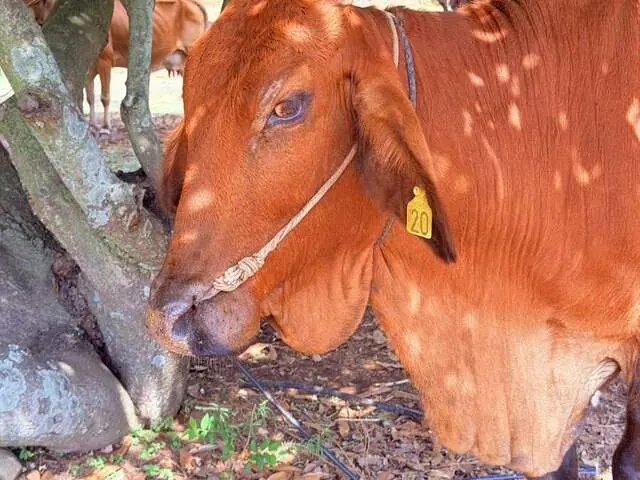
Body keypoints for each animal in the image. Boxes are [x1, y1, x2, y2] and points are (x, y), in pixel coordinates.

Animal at [86, 0, 208, 133]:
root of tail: (191, 3)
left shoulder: (105, 59)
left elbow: (105, 97)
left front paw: (106, 126)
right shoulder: (91, 66)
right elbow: (90, 95)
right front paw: (92, 124)